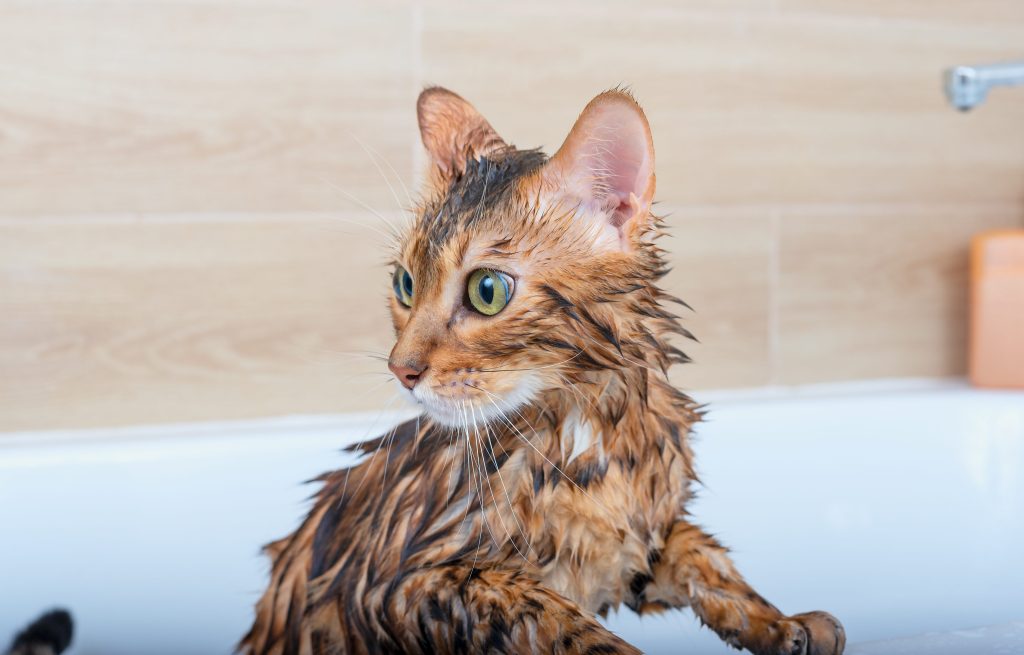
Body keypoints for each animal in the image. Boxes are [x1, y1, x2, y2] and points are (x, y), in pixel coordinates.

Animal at [237, 88, 839, 655]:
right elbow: (556, 617)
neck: (580, 433)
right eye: (405, 285)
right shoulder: (403, 585)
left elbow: (700, 556)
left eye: (487, 291)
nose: (400, 368)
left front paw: (779, 622)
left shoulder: (635, 547)